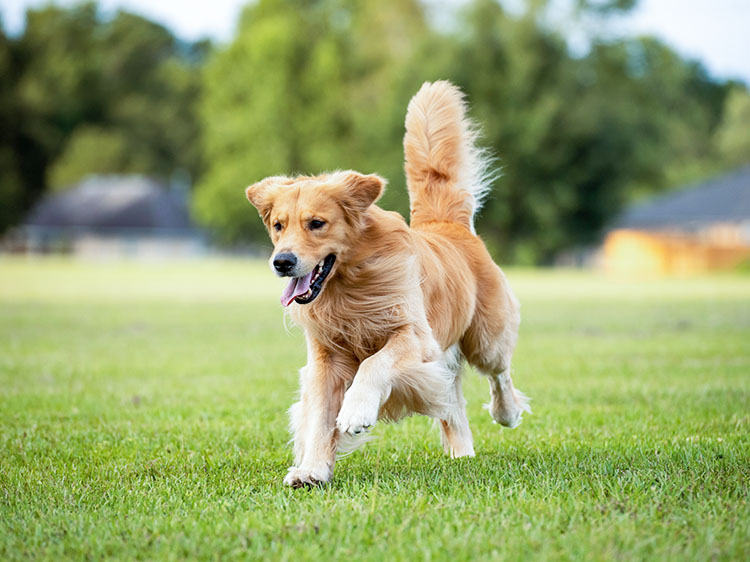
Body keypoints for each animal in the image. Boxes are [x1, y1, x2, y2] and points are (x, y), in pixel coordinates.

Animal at [245, 80, 528, 486]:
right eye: (278, 225)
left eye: (316, 223)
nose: (282, 262)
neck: (348, 286)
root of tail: (446, 223)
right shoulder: (326, 357)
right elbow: (319, 417)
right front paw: (313, 469)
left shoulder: (415, 336)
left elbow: (373, 364)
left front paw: (356, 411)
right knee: (453, 403)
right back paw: (462, 453)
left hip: (485, 337)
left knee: (499, 372)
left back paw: (506, 412)